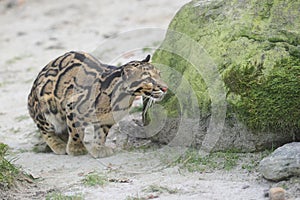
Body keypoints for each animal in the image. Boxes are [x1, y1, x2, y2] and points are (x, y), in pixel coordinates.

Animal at [27, 51, 168, 158]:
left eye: (160, 74)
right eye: (149, 80)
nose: (165, 88)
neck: (123, 97)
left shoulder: (107, 119)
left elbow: (101, 133)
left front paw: (98, 148)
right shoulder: (72, 106)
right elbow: (76, 132)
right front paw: (76, 148)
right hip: (46, 109)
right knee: (44, 128)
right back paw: (58, 144)